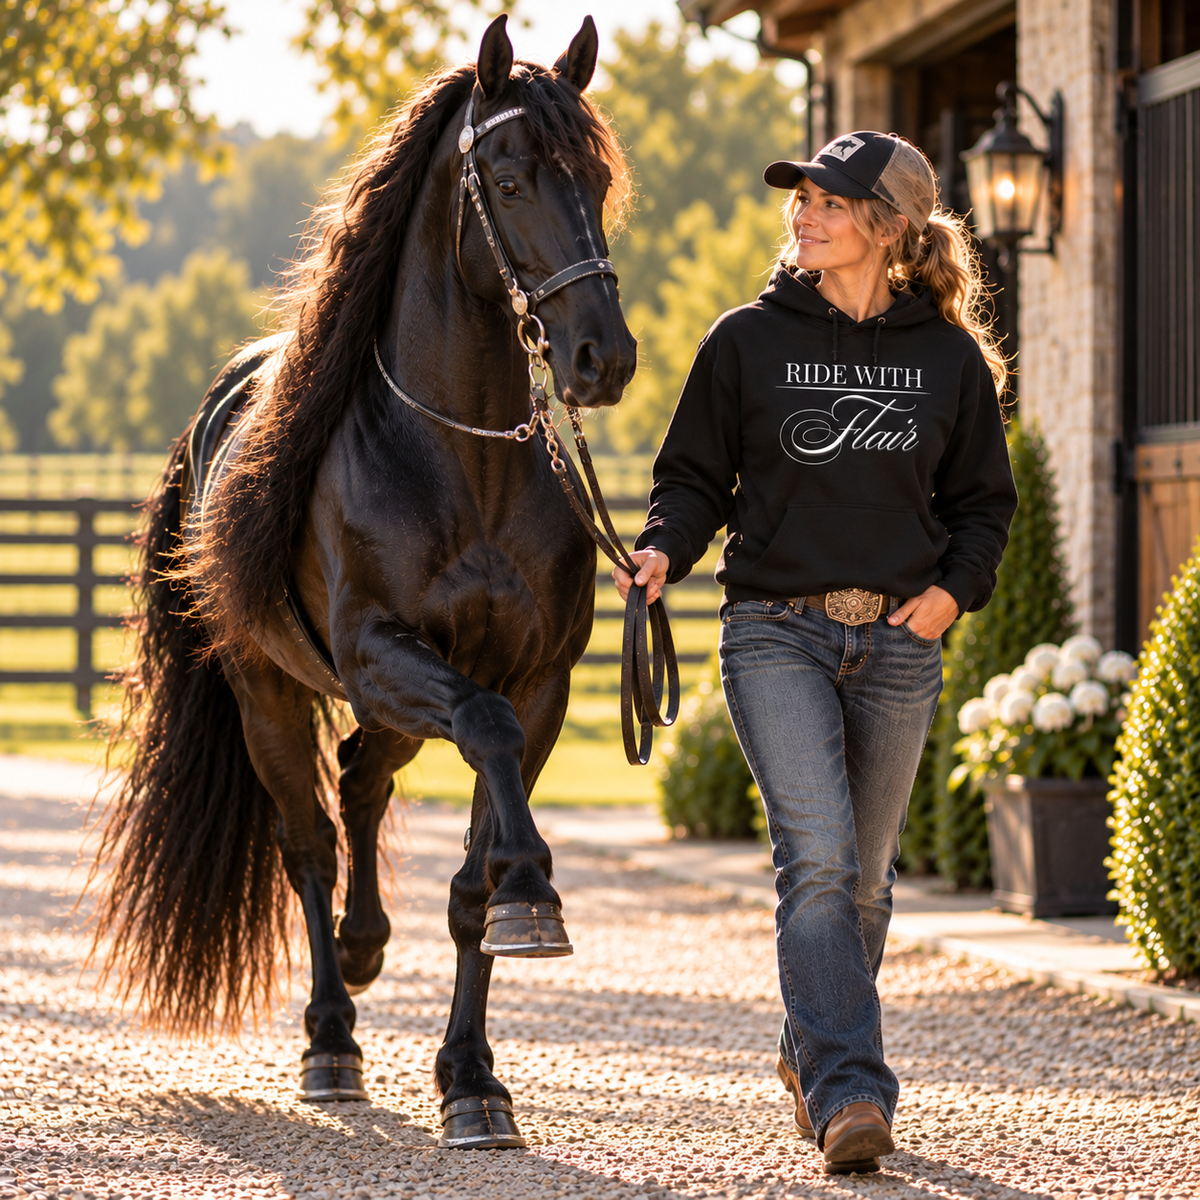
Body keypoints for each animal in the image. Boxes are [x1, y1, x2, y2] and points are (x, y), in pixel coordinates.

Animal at [90, 14, 638, 1150]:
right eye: (510, 178)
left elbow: (473, 877)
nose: (602, 358)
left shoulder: (538, 684)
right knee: (308, 838)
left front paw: (474, 1079)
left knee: (359, 778)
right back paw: (331, 1041)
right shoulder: (386, 654)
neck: (461, 459)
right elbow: (481, 741)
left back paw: (367, 945)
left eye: (600, 181)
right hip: (269, 691)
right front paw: (535, 896)